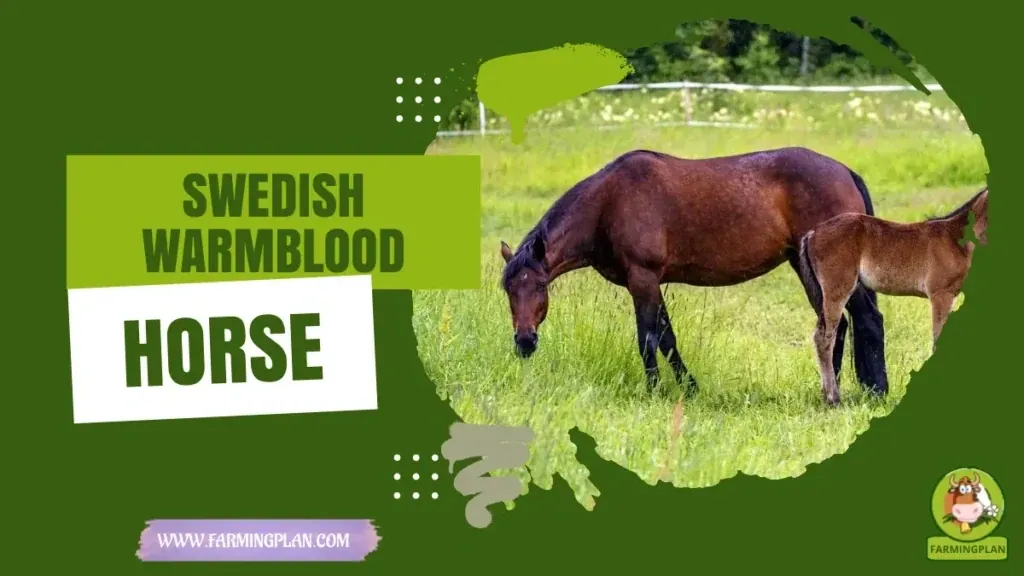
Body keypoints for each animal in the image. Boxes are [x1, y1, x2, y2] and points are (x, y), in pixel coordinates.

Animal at [498, 146, 889, 397]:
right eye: (508, 290)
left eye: (540, 286)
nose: (525, 342)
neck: (608, 203)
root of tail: (844, 172)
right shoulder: (649, 283)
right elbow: (667, 338)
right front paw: (689, 388)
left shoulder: (643, 279)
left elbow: (648, 338)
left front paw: (654, 390)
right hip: (806, 267)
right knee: (835, 326)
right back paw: (830, 390)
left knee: (867, 320)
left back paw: (876, 391)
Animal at [796, 187, 988, 406]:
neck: (955, 238)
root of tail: (812, 233)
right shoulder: (941, 294)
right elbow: (938, 340)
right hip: (837, 289)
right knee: (825, 337)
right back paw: (833, 398)